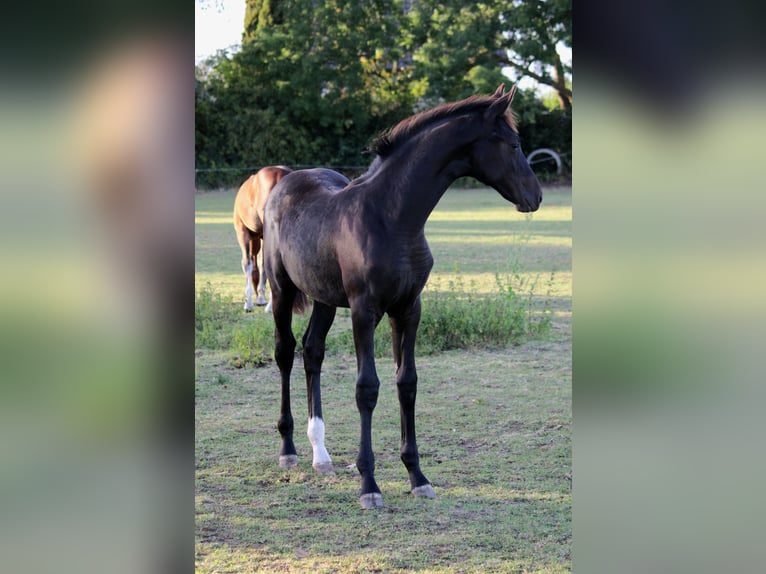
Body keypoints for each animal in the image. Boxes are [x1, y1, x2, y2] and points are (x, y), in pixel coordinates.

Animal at [263, 84, 542, 509]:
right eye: (512, 144)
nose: (536, 196)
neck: (391, 218)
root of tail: (285, 181)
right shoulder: (364, 311)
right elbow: (367, 388)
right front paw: (369, 484)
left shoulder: (408, 309)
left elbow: (406, 383)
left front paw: (417, 476)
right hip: (282, 290)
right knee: (284, 352)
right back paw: (288, 449)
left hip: (324, 296)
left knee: (312, 352)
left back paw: (321, 454)